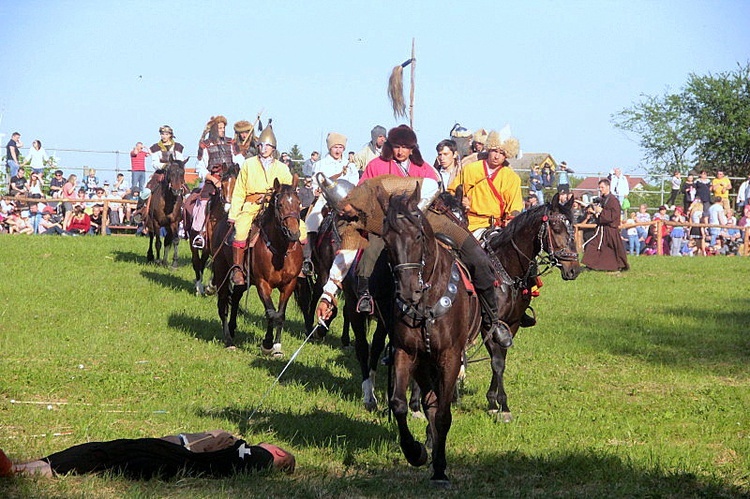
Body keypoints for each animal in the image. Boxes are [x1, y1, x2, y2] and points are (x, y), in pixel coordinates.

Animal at [182, 164, 238, 296]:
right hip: (194, 242)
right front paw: (211, 287)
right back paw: (199, 288)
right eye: (222, 184)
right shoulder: (214, 247)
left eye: (236, 184)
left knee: (202, 262)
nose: (228, 207)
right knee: (197, 262)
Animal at [212, 178, 302, 354]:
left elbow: (280, 314)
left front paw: (277, 347)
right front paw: (267, 343)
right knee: (223, 305)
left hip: (244, 281)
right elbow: (271, 313)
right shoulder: (263, 284)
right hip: (221, 273)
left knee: (235, 297)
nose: (294, 233)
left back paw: (232, 328)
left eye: (298, 203)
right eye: (280, 205)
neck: (280, 250)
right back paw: (228, 340)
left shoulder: (289, 284)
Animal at [382, 188, 482, 488]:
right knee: (430, 402)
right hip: (424, 364)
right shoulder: (406, 352)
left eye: (417, 236)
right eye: (387, 239)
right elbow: (399, 404)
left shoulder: (450, 357)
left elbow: (444, 415)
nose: (407, 291)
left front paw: (440, 469)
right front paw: (415, 452)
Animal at [482, 191, 580, 422]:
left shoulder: (511, 324)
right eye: (556, 227)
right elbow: (496, 362)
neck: (505, 270)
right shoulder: (489, 324)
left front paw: (494, 402)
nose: (574, 269)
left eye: (573, 227)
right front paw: (503, 406)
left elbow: (501, 359)